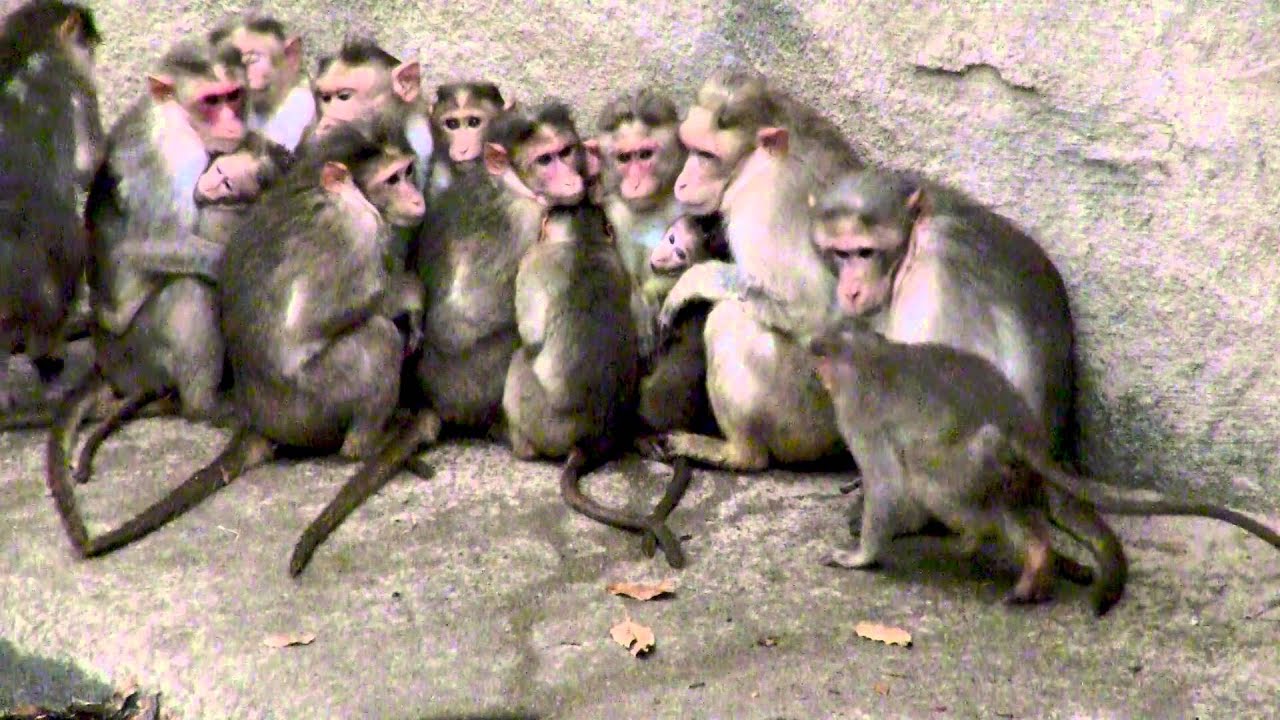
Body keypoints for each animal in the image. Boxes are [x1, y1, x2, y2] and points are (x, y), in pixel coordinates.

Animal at [45, 120, 427, 559]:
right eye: (393, 178)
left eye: (408, 172)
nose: (416, 196)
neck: (330, 186)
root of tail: (261, 419)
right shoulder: (358, 226)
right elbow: (322, 314)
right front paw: (409, 296)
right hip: (312, 402)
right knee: (378, 338)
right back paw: (365, 446)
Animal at [651, 69, 864, 471]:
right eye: (690, 147)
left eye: (707, 155)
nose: (681, 181)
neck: (755, 163)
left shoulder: (762, 209)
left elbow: (807, 306)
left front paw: (690, 281)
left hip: (802, 418)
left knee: (729, 319)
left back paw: (739, 452)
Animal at [808, 319, 1280, 616]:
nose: (814, 358)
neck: (864, 353)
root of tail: (1024, 432)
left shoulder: (856, 415)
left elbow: (887, 484)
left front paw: (859, 555)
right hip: (1008, 473)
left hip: (968, 463)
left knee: (937, 481)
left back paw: (1014, 552)